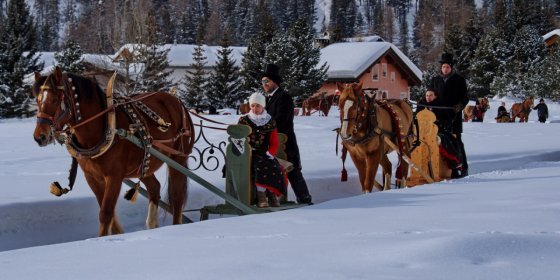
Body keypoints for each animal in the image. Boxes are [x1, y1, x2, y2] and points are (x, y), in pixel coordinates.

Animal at [32, 66, 196, 235]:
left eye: (55, 99)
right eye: (37, 100)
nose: (40, 137)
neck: (101, 127)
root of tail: (176, 101)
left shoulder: (115, 176)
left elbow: (106, 213)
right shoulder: (92, 177)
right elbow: (109, 215)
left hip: (178, 159)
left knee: (177, 197)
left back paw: (176, 226)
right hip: (143, 164)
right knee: (155, 188)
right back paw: (152, 225)